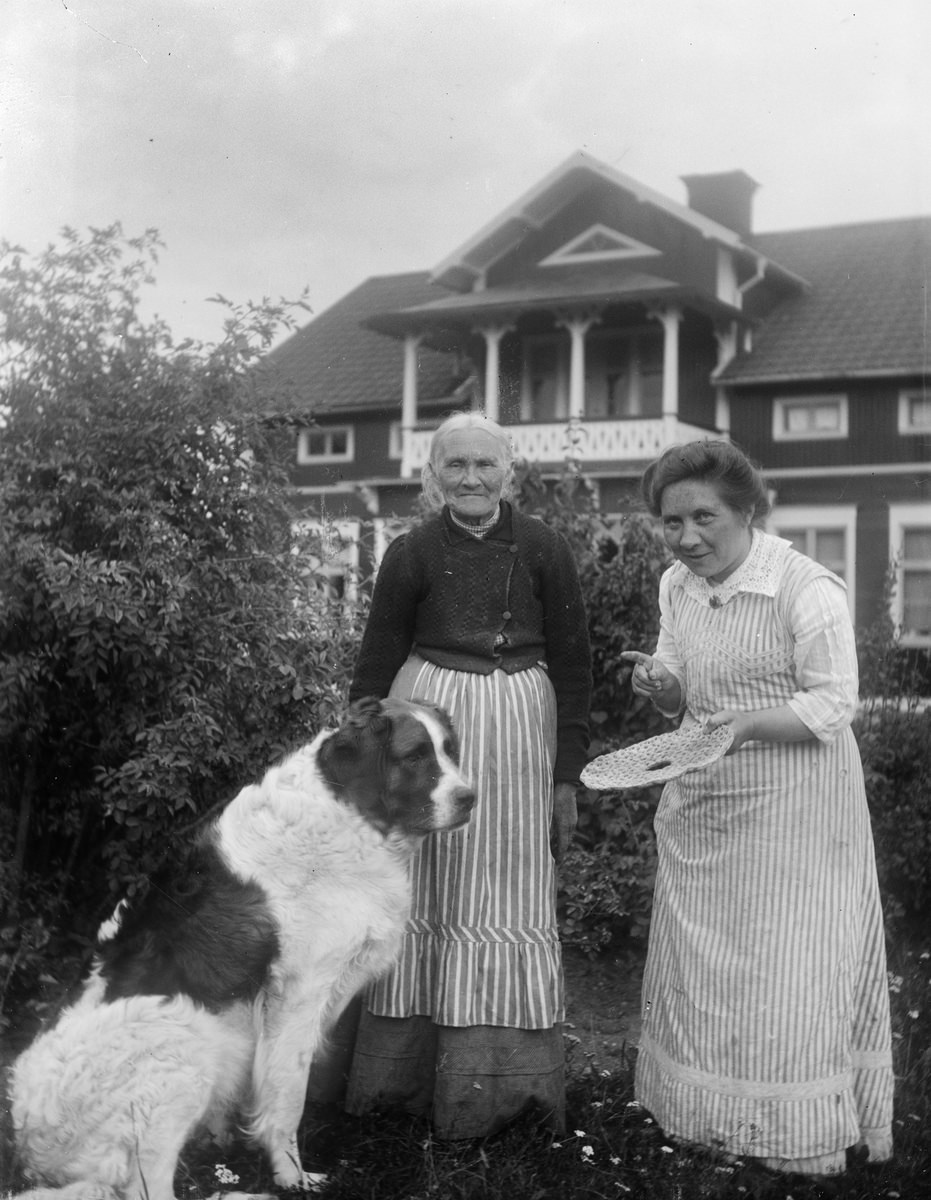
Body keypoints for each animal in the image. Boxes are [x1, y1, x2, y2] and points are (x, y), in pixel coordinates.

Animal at [13, 700, 477, 1200]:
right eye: (415, 757)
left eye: (449, 751)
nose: (470, 797)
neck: (348, 814)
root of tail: (28, 1147)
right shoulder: (298, 996)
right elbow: (288, 1097)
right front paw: (291, 1176)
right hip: (182, 1043)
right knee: (147, 1189)